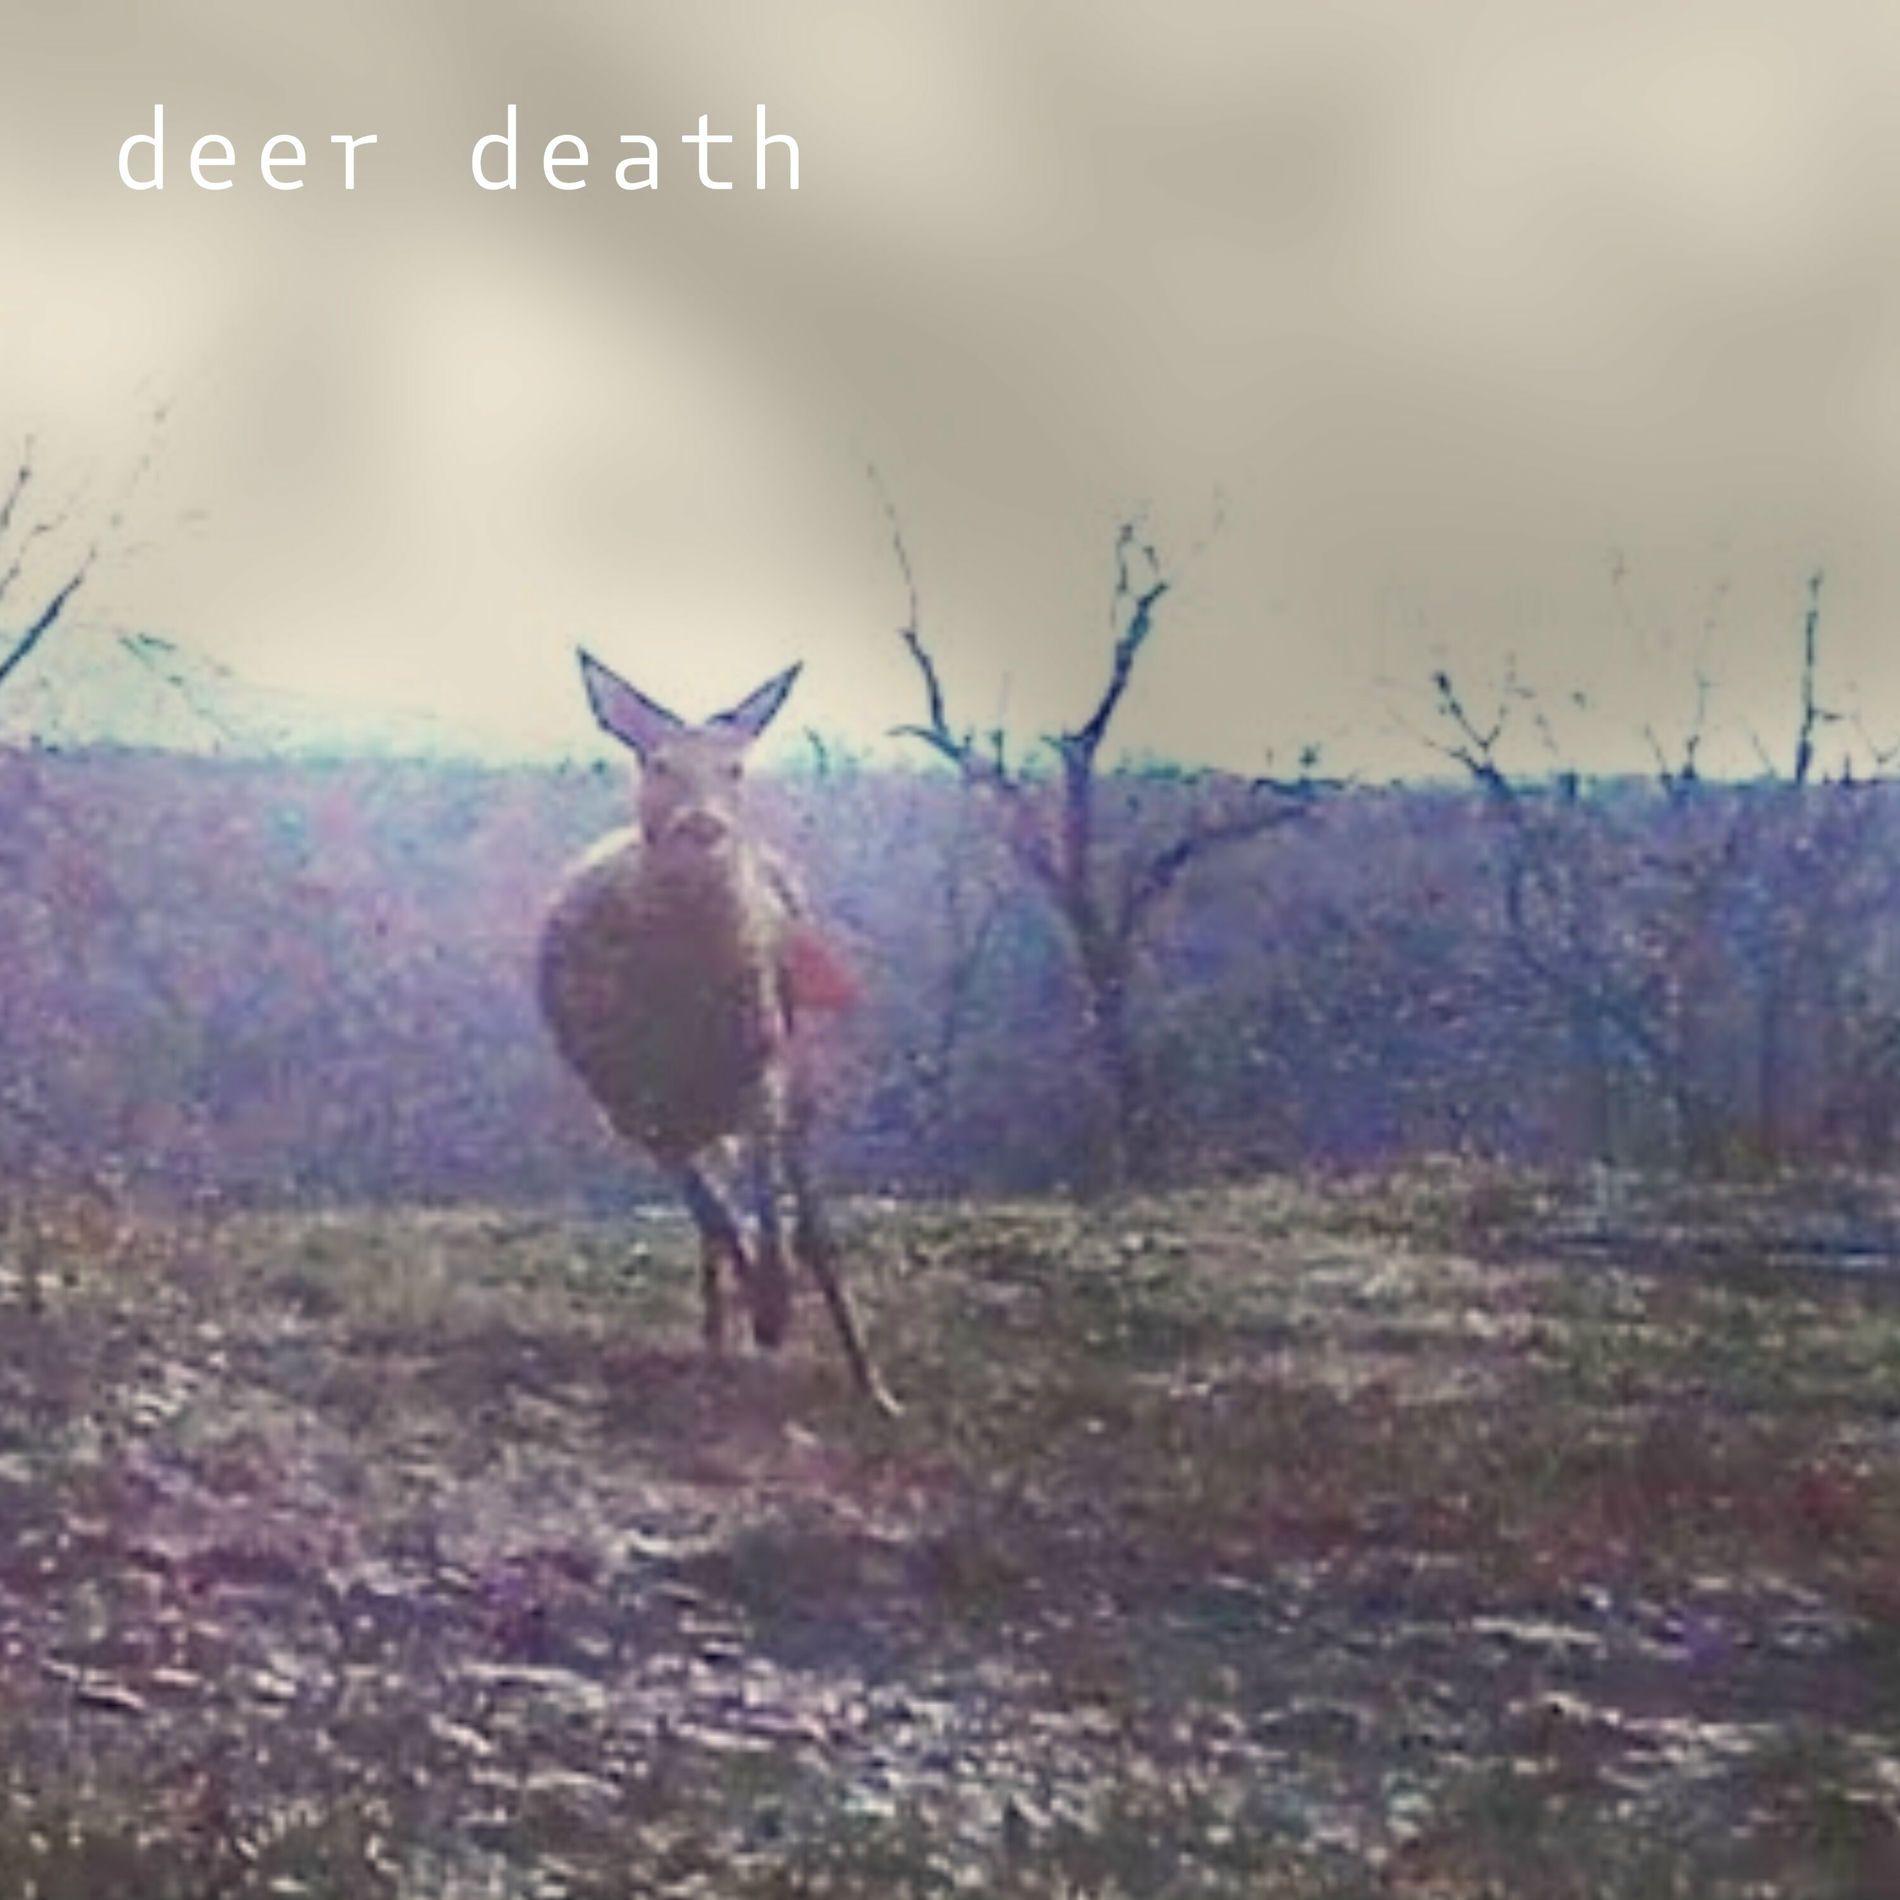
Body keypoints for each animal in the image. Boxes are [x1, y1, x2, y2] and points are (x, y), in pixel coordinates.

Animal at [538, 650, 900, 1416]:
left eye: (735, 768)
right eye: (657, 763)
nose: (702, 828)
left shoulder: (764, 1065)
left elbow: (765, 1202)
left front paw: (775, 1304)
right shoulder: (632, 1104)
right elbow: (714, 1213)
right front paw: (757, 1315)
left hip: (797, 1071)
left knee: (811, 1218)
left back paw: (870, 1382)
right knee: (716, 1214)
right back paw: (718, 1343)